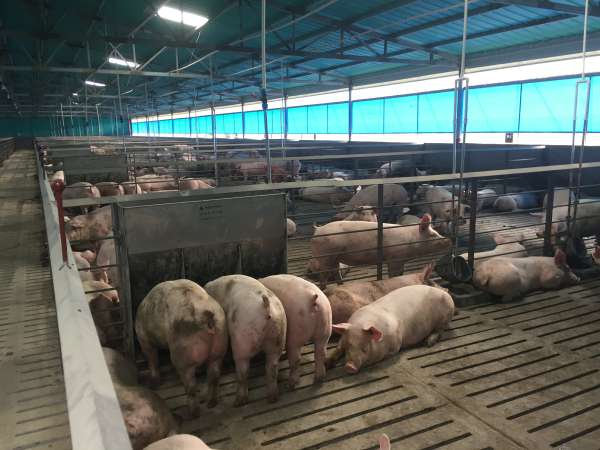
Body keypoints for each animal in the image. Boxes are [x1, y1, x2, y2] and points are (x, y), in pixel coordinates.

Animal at [135, 280, 228, 412]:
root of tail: (207, 316)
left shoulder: (143, 336)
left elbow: (152, 358)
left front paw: (154, 383)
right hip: (220, 343)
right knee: (214, 375)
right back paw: (211, 403)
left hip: (183, 354)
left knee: (191, 385)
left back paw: (193, 412)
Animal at [204, 275, 286, 406]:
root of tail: (265, 305)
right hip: (278, 336)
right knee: (272, 368)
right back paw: (272, 398)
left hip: (242, 339)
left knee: (243, 371)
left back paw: (238, 402)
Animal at [310, 214, 450, 289]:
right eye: (433, 235)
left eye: (436, 232)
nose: (449, 240)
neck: (410, 240)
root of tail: (318, 230)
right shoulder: (394, 259)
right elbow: (393, 274)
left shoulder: (401, 260)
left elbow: (401, 273)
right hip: (325, 256)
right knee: (323, 276)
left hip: (335, 257)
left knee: (335, 271)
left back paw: (341, 285)